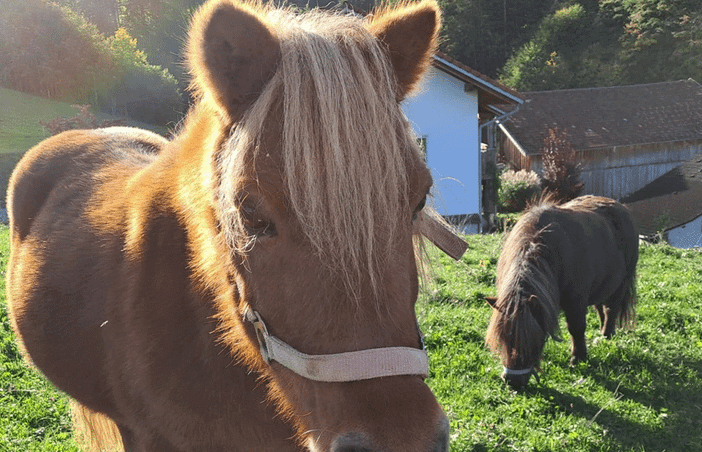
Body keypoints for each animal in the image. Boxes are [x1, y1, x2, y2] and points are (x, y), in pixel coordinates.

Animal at [484, 196, 640, 386]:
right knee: (601, 308)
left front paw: (578, 357)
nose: (513, 381)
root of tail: (620, 207)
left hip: (621, 283)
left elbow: (576, 328)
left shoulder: (576, 302)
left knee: (611, 309)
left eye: (532, 340)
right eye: (502, 338)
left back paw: (606, 335)